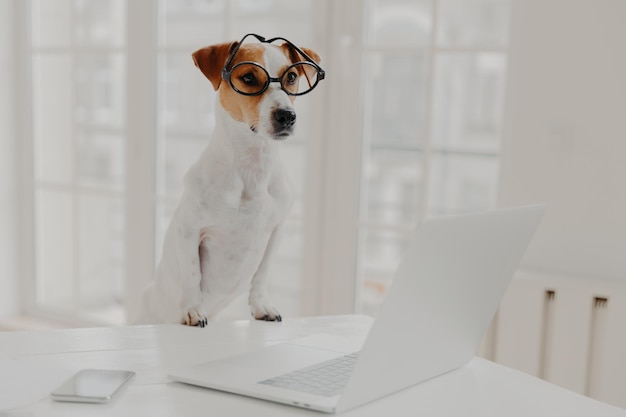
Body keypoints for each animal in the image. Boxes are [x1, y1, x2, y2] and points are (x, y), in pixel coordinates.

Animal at [135, 34, 324, 326]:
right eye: (248, 78)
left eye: (291, 76)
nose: (287, 116)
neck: (252, 166)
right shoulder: (189, 231)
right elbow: (192, 274)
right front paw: (192, 310)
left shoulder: (276, 231)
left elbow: (262, 275)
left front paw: (261, 306)